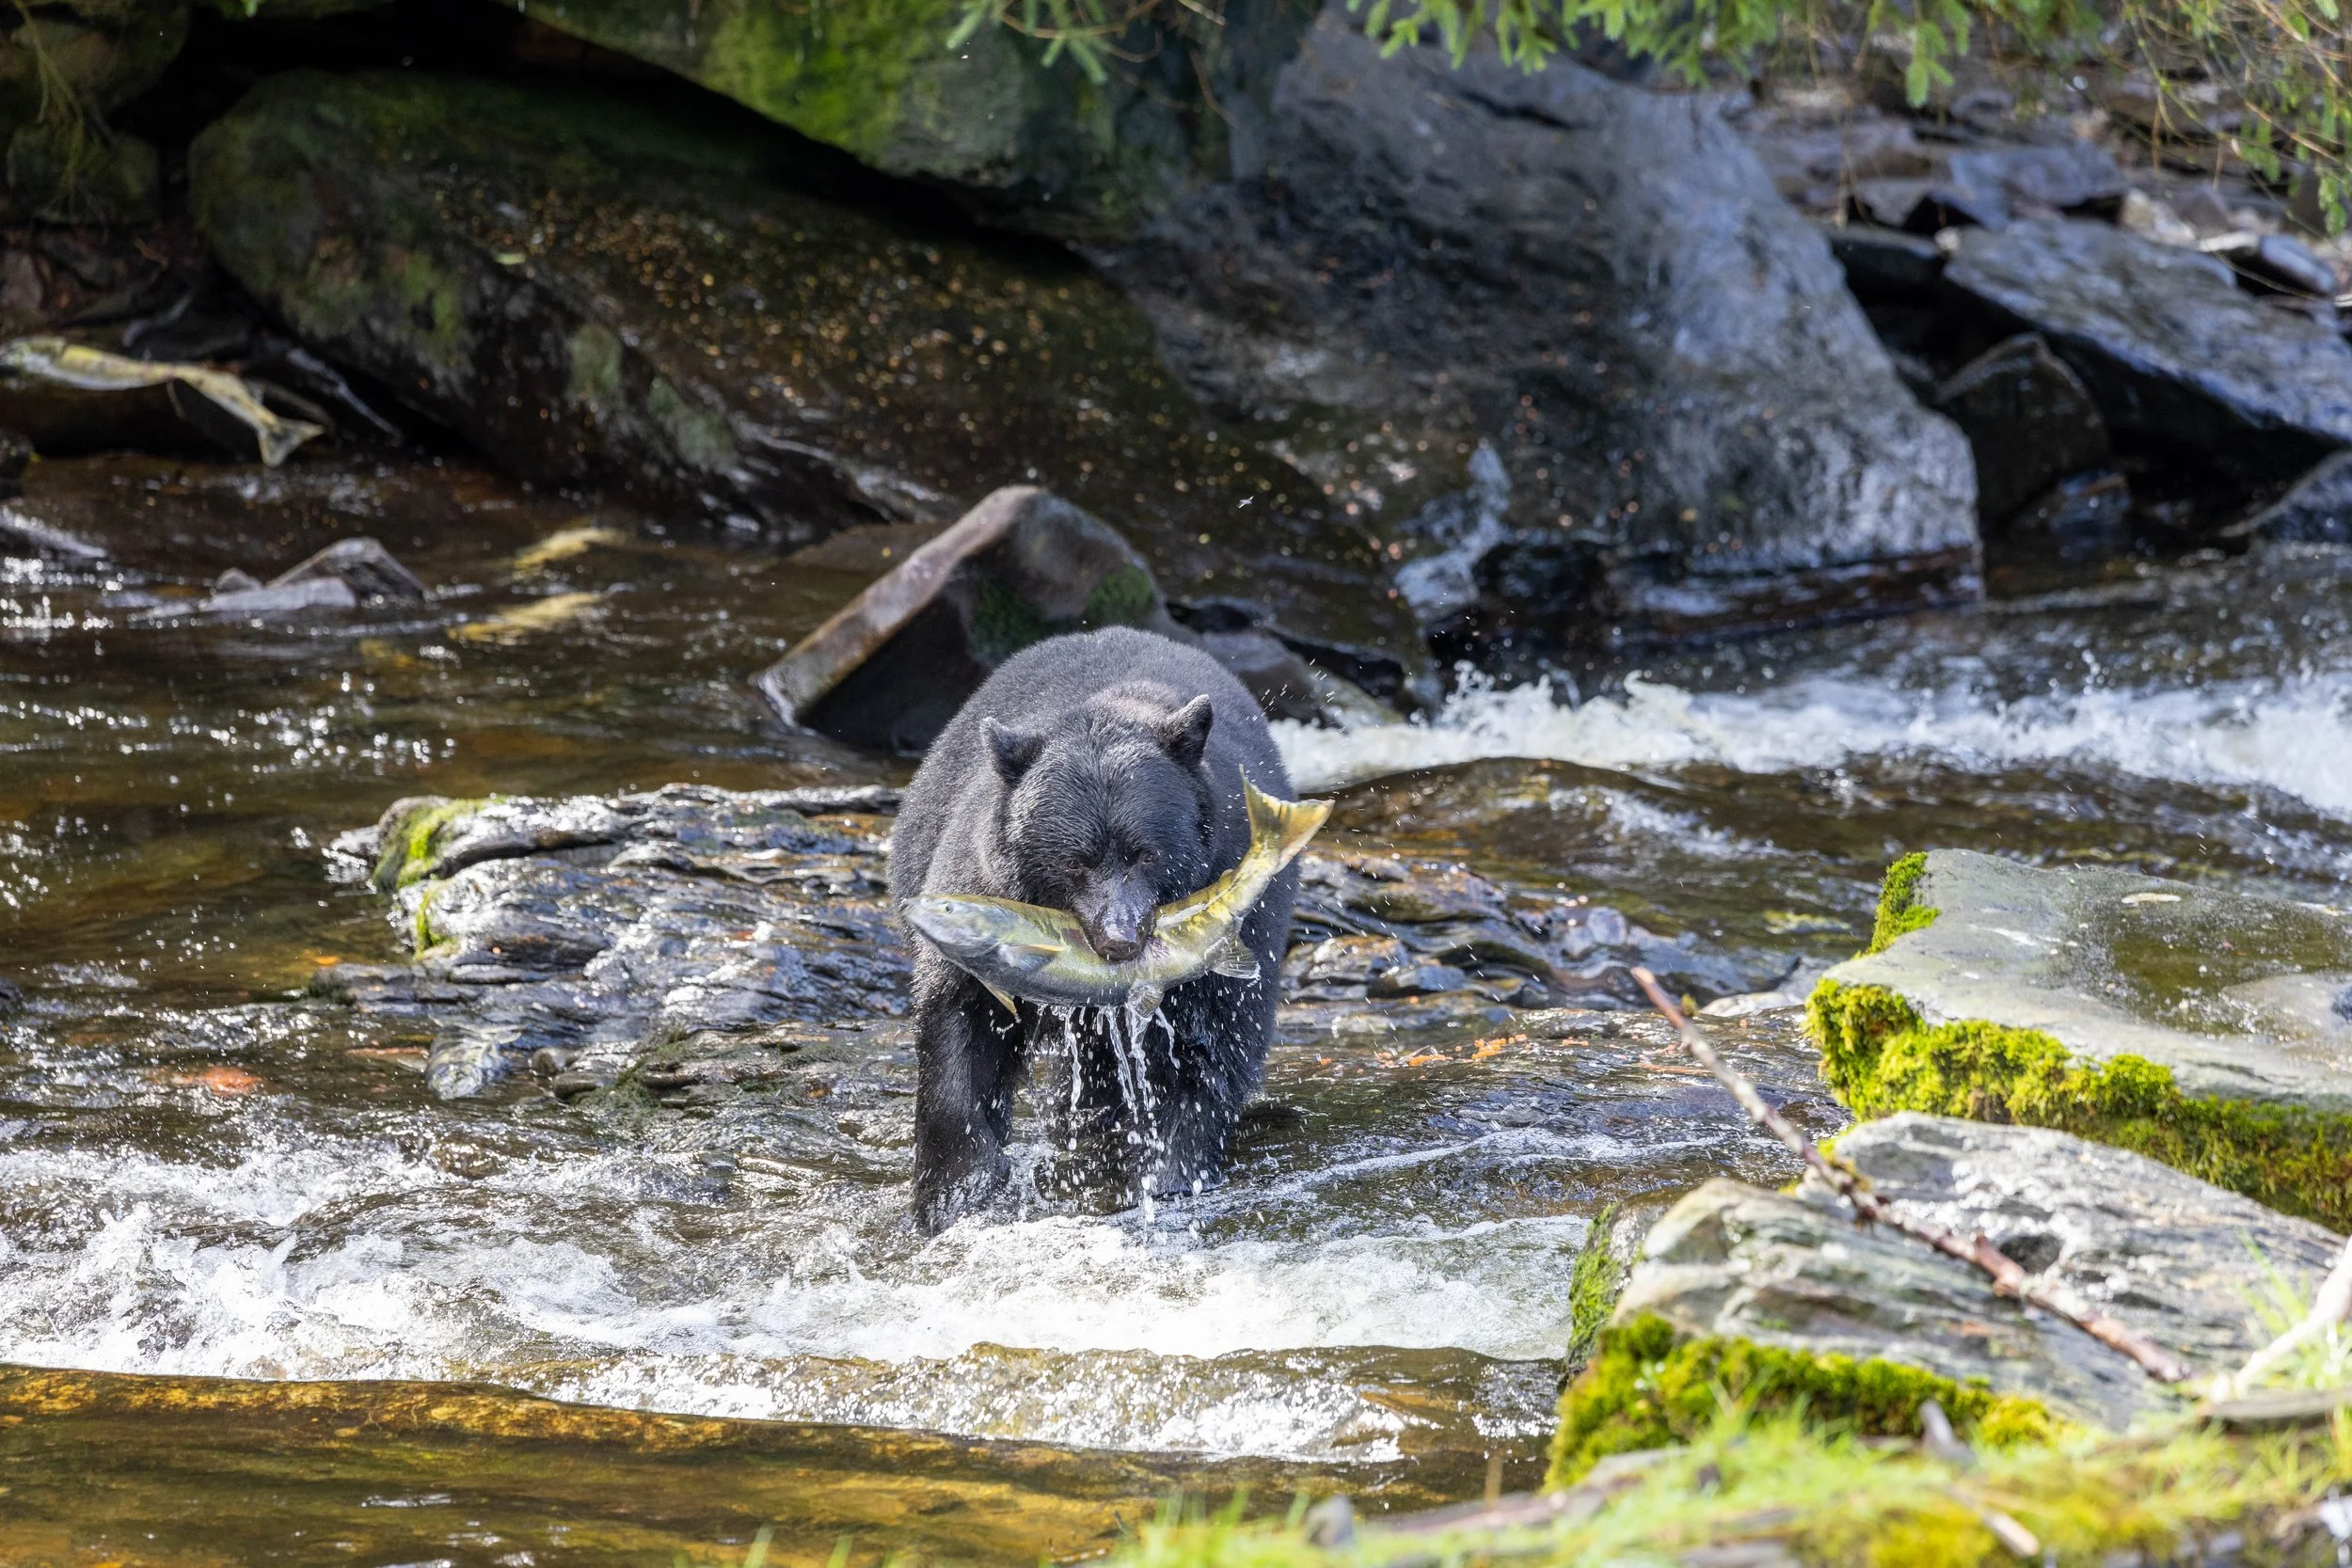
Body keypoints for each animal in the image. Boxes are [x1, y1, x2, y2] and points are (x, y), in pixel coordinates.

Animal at [889, 625, 1297, 1234]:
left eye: (1145, 854)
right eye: (1074, 861)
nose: (1118, 940)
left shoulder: (1233, 914)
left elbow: (1208, 1042)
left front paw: (1169, 1173)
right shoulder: (977, 879)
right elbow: (959, 1016)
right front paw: (955, 1191)